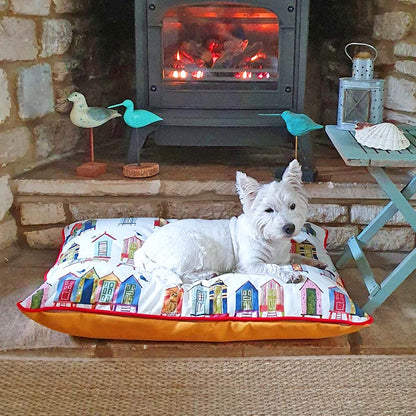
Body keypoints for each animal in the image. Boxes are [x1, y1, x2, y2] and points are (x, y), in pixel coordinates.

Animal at [136, 158, 316, 284]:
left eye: (292, 206)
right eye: (268, 210)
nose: (289, 228)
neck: (272, 240)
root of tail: (143, 248)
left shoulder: (284, 257)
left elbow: (296, 256)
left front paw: (316, 261)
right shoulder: (250, 264)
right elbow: (271, 266)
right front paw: (290, 274)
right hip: (193, 248)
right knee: (181, 274)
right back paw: (207, 273)